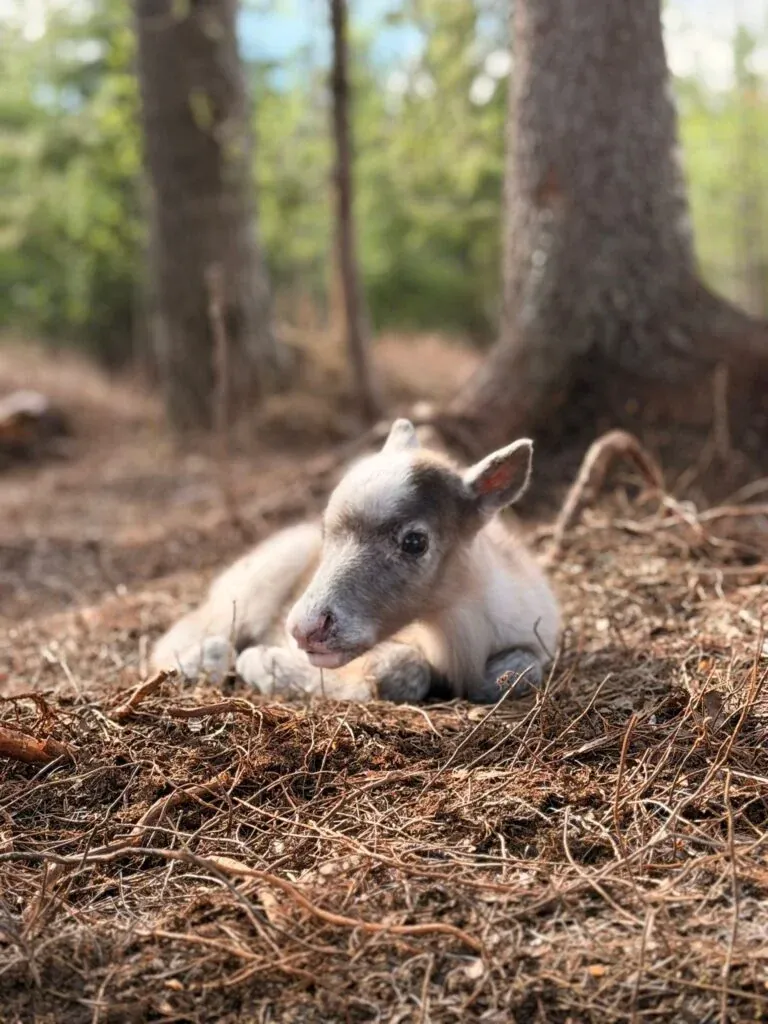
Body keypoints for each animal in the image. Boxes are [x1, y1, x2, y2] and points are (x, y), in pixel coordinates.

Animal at [151, 419, 561, 703]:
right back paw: (205, 661)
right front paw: (264, 664)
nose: (304, 628)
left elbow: (521, 672)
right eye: (326, 528)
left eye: (415, 541)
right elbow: (402, 669)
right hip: (248, 591)